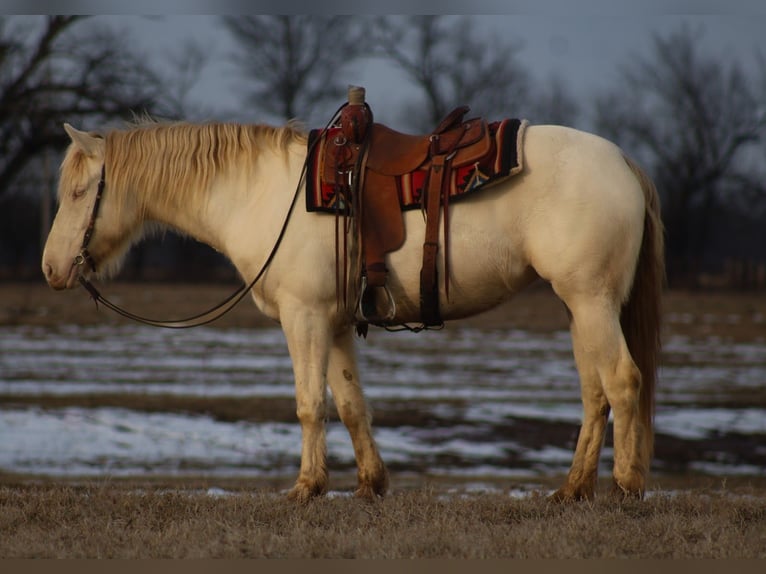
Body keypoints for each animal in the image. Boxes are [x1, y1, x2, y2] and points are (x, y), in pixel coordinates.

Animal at [42, 117, 664, 502]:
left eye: (78, 192)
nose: (51, 269)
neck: (258, 194)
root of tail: (623, 161)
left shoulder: (304, 318)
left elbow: (309, 404)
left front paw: (307, 487)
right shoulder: (336, 322)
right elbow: (349, 404)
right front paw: (369, 484)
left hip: (592, 301)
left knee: (623, 382)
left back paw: (625, 485)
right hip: (580, 308)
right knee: (595, 393)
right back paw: (573, 489)